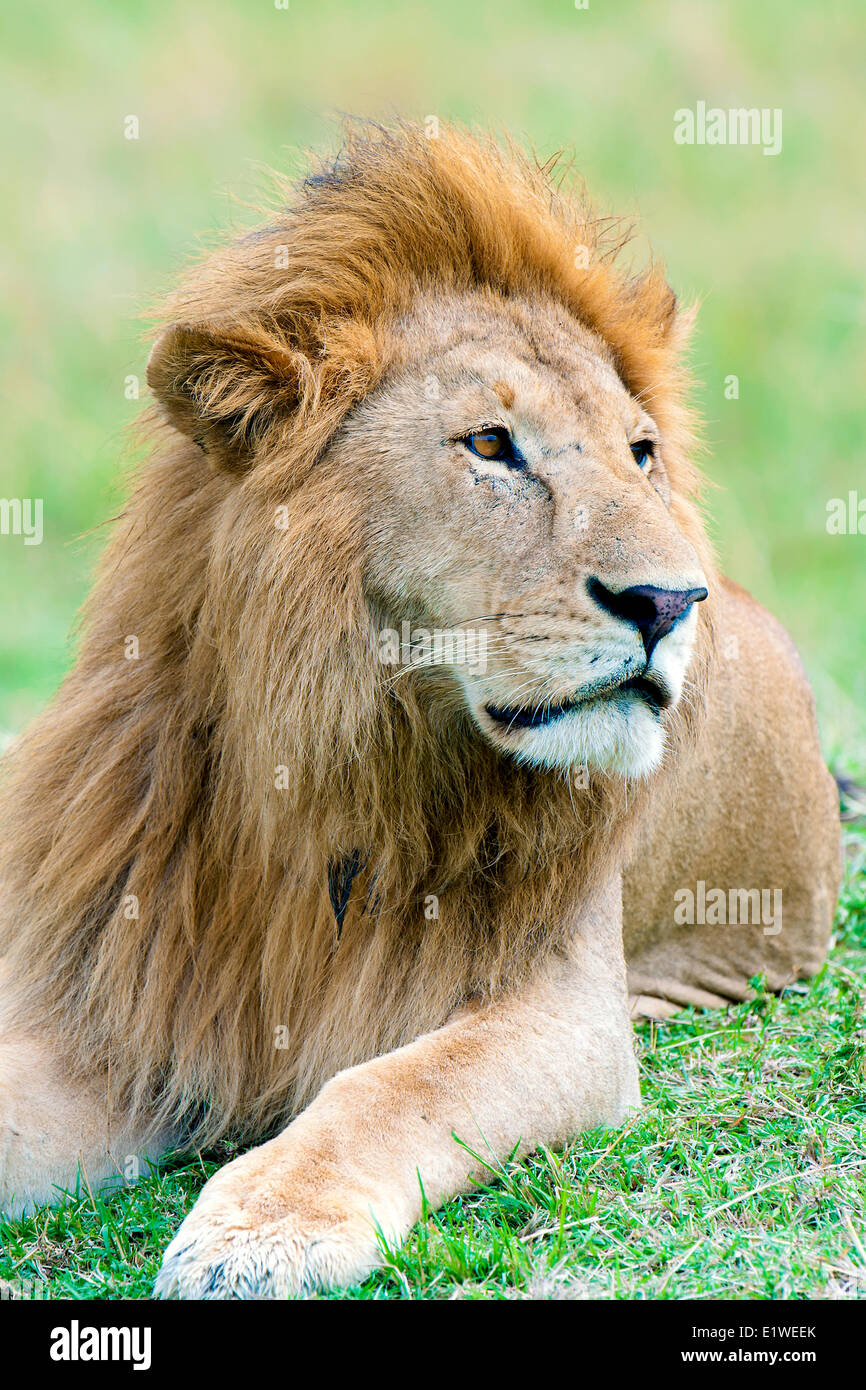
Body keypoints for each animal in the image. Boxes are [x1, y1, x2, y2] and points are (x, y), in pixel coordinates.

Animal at [0, 123, 840, 1298]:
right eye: (489, 445)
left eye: (641, 455)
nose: (671, 602)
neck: (327, 771)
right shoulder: (134, 998)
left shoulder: (562, 1011)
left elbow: (392, 1089)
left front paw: (264, 1228)